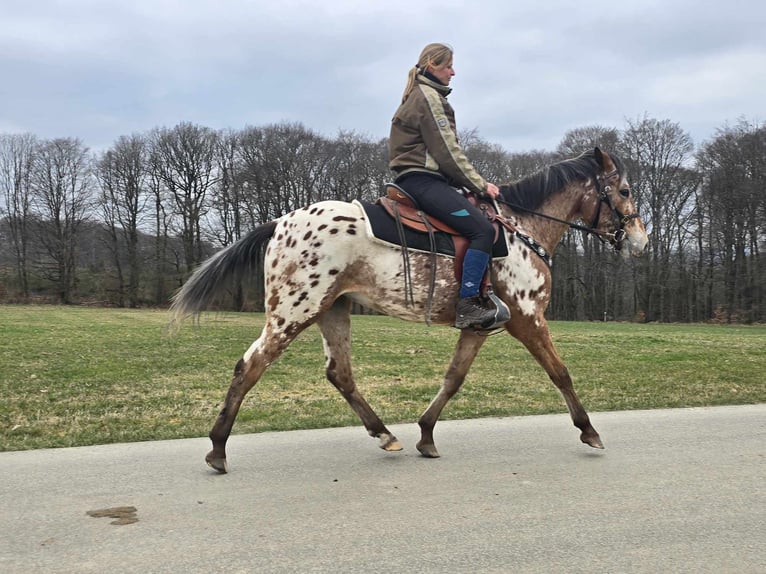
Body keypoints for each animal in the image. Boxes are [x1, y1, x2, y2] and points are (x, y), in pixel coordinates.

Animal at [172, 147, 648, 472]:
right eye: (624, 190)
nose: (641, 240)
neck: (520, 229)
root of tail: (281, 222)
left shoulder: (478, 326)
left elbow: (454, 378)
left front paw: (426, 434)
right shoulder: (528, 319)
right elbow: (560, 372)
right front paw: (589, 430)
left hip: (332, 310)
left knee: (340, 374)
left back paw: (385, 435)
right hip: (294, 311)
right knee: (249, 366)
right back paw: (217, 448)